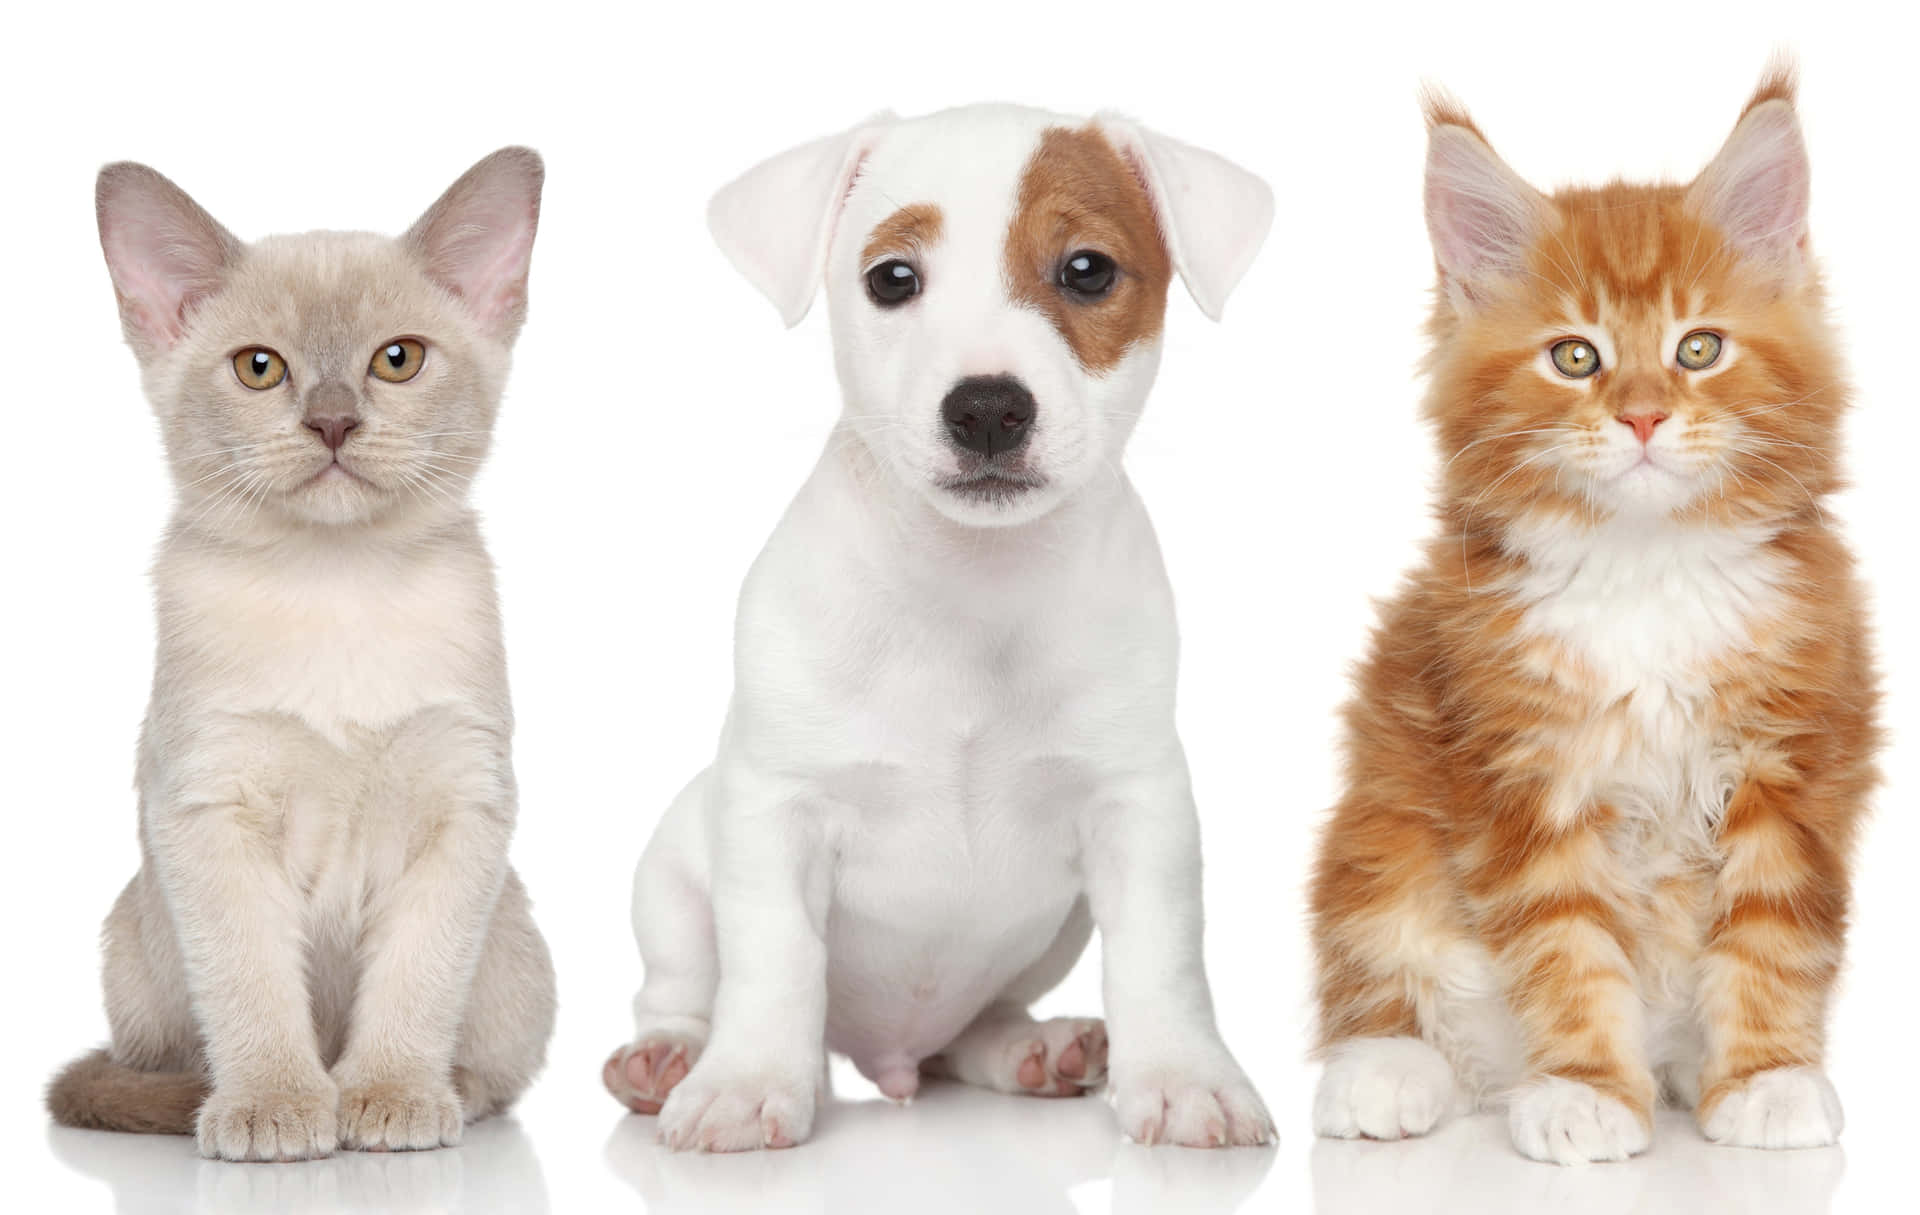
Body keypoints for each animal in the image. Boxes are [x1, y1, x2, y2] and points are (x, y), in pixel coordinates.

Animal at [46, 146, 556, 1159]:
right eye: (260, 368)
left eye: (397, 360)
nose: (331, 423)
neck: (338, 583)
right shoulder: (211, 808)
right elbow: (252, 986)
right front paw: (275, 1108)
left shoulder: (462, 805)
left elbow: (414, 982)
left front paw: (390, 1097)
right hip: (132, 950)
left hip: (517, 947)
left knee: (496, 1071)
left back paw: (449, 1092)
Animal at [602, 101, 1274, 1143]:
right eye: (893, 278)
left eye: (1088, 269)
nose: (988, 407)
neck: (972, 582)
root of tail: (887, 1057)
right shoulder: (775, 811)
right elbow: (772, 958)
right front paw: (747, 1081)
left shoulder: (1140, 805)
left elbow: (1161, 957)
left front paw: (1185, 1074)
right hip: (671, 869)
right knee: (677, 984)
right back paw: (669, 1057)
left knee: (975, 1028)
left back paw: (1034, 1046)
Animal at [1305, 68, 1873, 1167]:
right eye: (1575, 357)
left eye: (1699, 348)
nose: (1643, 414)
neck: (1647, 575)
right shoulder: (1524, 774)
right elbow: (1568, 949)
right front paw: (1587, 1092)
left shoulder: (1793, 762)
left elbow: (1773, 933)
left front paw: (1766, 1077)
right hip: (1381, 824)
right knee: (1383, 966)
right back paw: (1387, 1073)